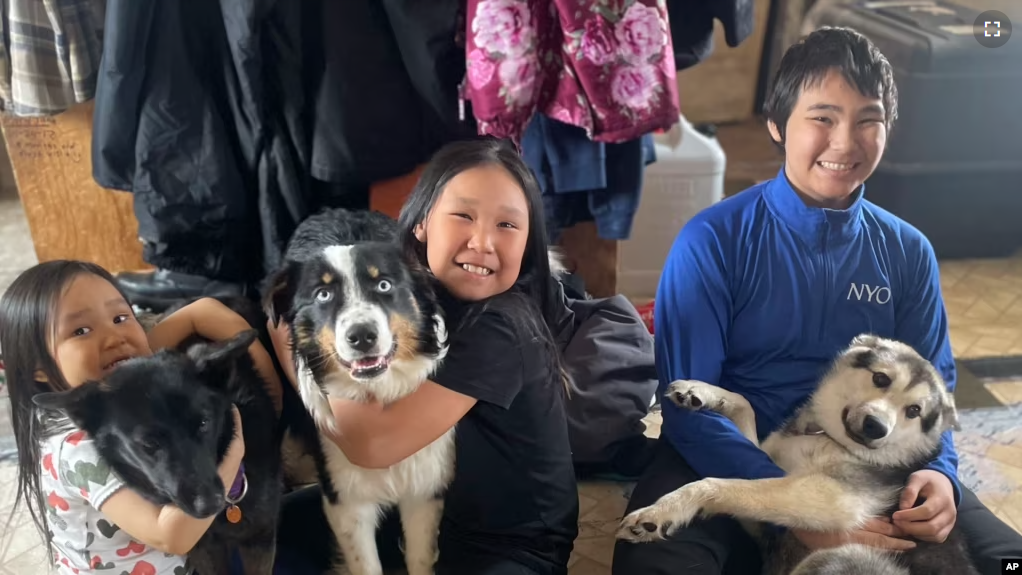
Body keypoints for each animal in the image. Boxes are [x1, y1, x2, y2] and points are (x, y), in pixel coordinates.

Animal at [617, 332, 977, 575]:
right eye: (880, 378)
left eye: (914, 411)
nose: (876, 427)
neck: (828, 439)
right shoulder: (762, 511)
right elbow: (745, 408)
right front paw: (701, 392)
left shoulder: (831, 498)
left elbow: (718, 484)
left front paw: (664, 511)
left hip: (837, 556)